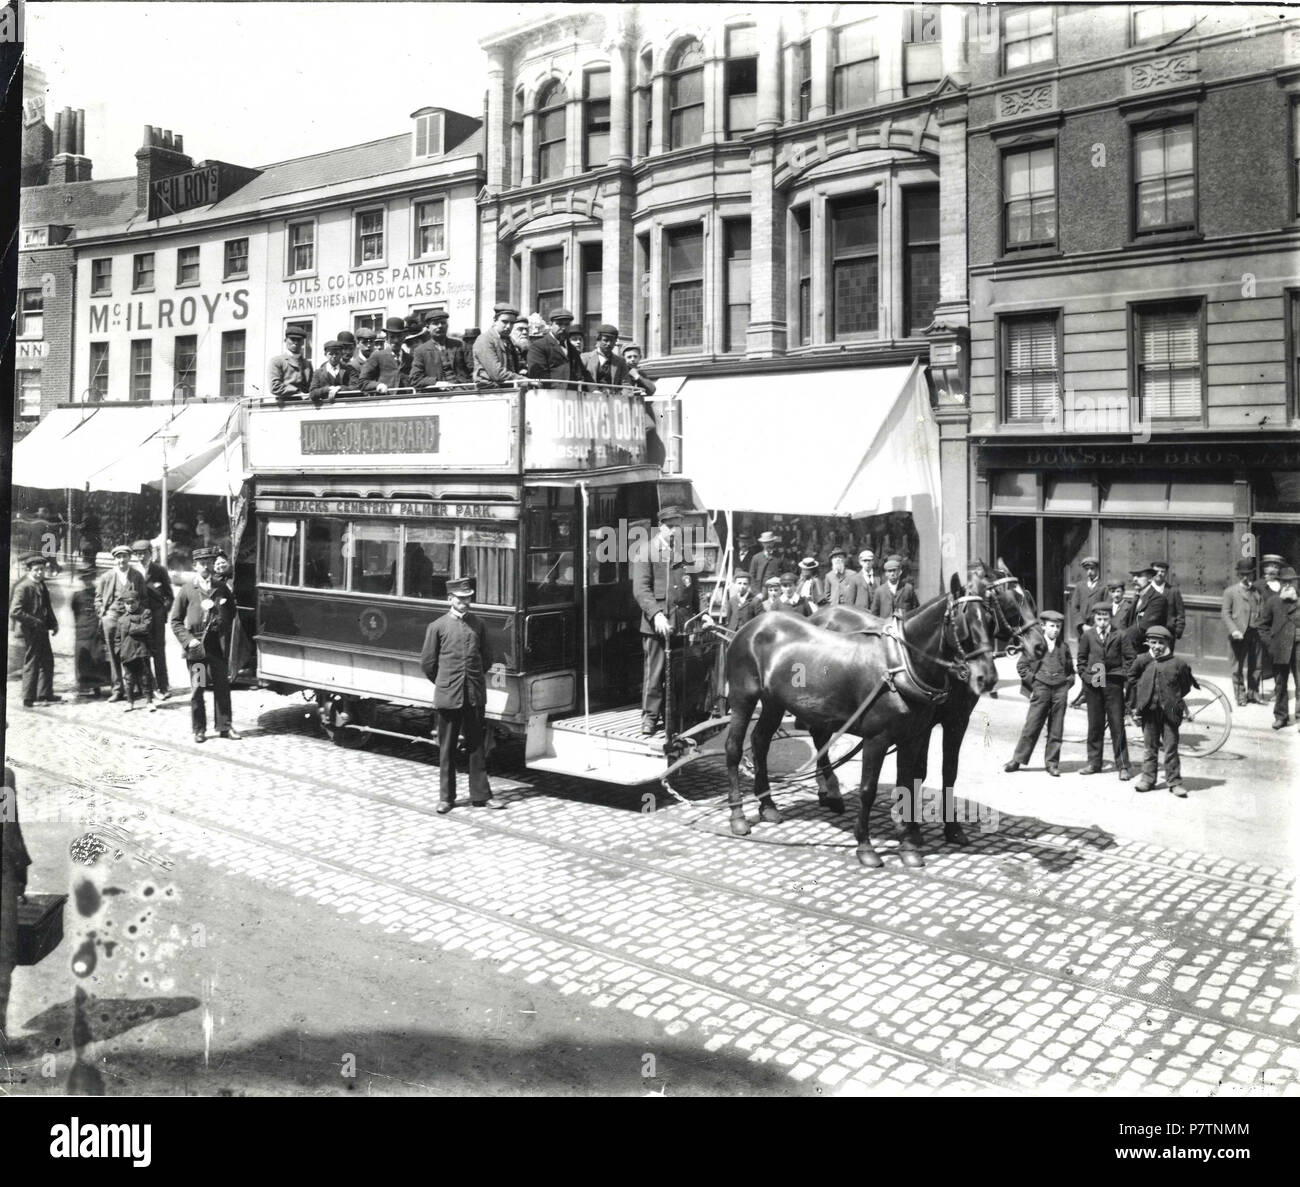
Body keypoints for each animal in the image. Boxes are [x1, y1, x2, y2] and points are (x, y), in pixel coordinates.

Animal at [722, 577, 993, 868]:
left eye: (989, 616)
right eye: (964, 620)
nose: (986, 677)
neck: (899, 666)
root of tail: (752, 626)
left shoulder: (913, 736)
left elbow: (907, 783)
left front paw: (908, 845)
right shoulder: (877, 738)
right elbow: (867, 790)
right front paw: (865, 845)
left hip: (774, 702)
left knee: (760, 741)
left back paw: (768, 806)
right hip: (742, 696)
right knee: (734, 748)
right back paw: (738, 816)